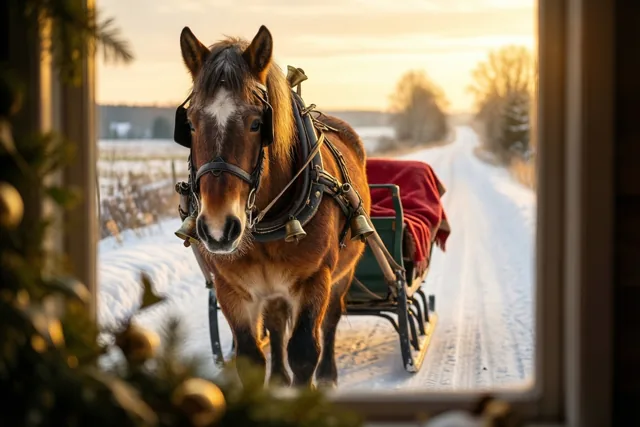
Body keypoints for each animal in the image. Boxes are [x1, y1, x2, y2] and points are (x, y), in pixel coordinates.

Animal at [178, 24, 371, 388]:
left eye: (257, 123)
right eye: (191, 124)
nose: (218, 229)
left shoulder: (314, 279)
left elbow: (305, 351)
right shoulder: (231, 287)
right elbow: (251, 355)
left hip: (344, 272)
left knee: (331, 318)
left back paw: (328, 374)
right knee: (277, 322)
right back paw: (279, 377)